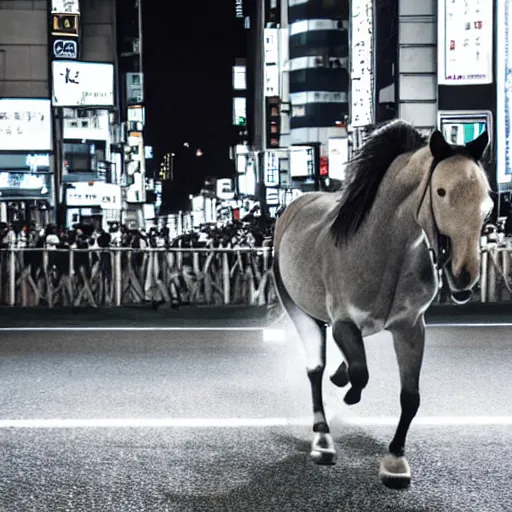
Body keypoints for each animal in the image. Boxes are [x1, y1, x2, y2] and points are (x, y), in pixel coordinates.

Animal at [274, 120, 494, 488]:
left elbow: (410, 397)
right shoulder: (343, 322)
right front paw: (349, 395)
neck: (385, 248)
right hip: (297, 308)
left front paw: (395, 461)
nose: (464, 276)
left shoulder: (411, 327)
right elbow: (361, 372)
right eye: (441, 192)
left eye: (487, 200)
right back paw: (322, 437)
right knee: (315, 371)